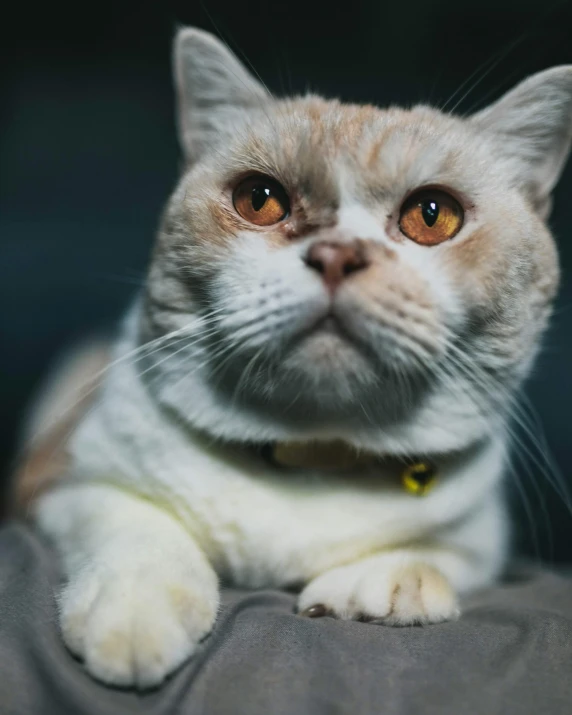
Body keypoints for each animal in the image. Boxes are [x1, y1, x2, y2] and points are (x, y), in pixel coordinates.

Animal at [16, 26, 572, 688]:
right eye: (260, 199)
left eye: (433, 215)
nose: (337, 254)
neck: (310, 451)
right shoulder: (49, 486)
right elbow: (133, 523)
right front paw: (133, 613)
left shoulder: (483, 538)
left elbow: (440, 556)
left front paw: (385, 581)